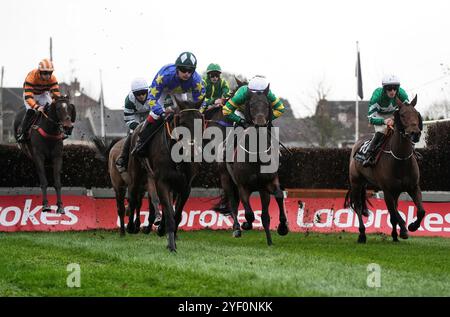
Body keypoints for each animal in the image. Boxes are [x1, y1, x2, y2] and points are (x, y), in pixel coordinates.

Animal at [214, 86, 290, 244]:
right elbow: (248, 213)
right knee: (233, 203)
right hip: (226, 179)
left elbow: (278, 197)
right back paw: (237, 228)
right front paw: (246, 224)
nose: (260, 123)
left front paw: (282, 228)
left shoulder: (268, 182)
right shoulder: (243, 186)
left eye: (267, 105)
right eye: (252, 105)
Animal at [344, 95, 426, 243]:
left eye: (417, 114)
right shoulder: (387, 191)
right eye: (402, 115)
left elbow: (420, 211)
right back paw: (362, 234)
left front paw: (411, 227)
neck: (401, 160)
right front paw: (404, 229)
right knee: (358, 206)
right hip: (356, 182)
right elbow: (394, 213)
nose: (415, 133)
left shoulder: (413, 187)